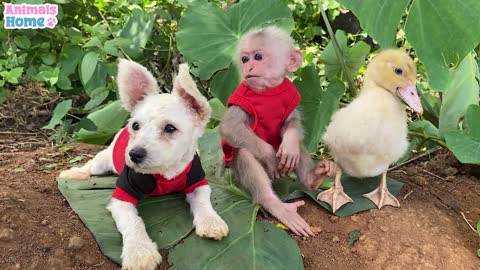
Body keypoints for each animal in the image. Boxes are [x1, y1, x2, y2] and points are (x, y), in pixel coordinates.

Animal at [59, 59, 229, 270]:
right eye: (136, 126)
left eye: (170, 128)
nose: (134, 154)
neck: (165, 172)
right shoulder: (122, 198)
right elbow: (133, 222)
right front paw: (139, 251)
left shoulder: (198, 182)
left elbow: (203, 202)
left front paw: (210, 221)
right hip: (102, 161)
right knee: (90, 165)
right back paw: (75, 173)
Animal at [219, 25, 336, 236]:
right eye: (245, 59)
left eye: (258, 57)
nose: (249, 67)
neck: (268, 90)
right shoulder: (242, 95)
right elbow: (230, 127)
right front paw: (269, 156)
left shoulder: (291, 92)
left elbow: (292, 123)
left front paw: (290, 146)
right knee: (245, 152)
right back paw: (273, 203)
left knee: (297, 144)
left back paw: (312, 178)